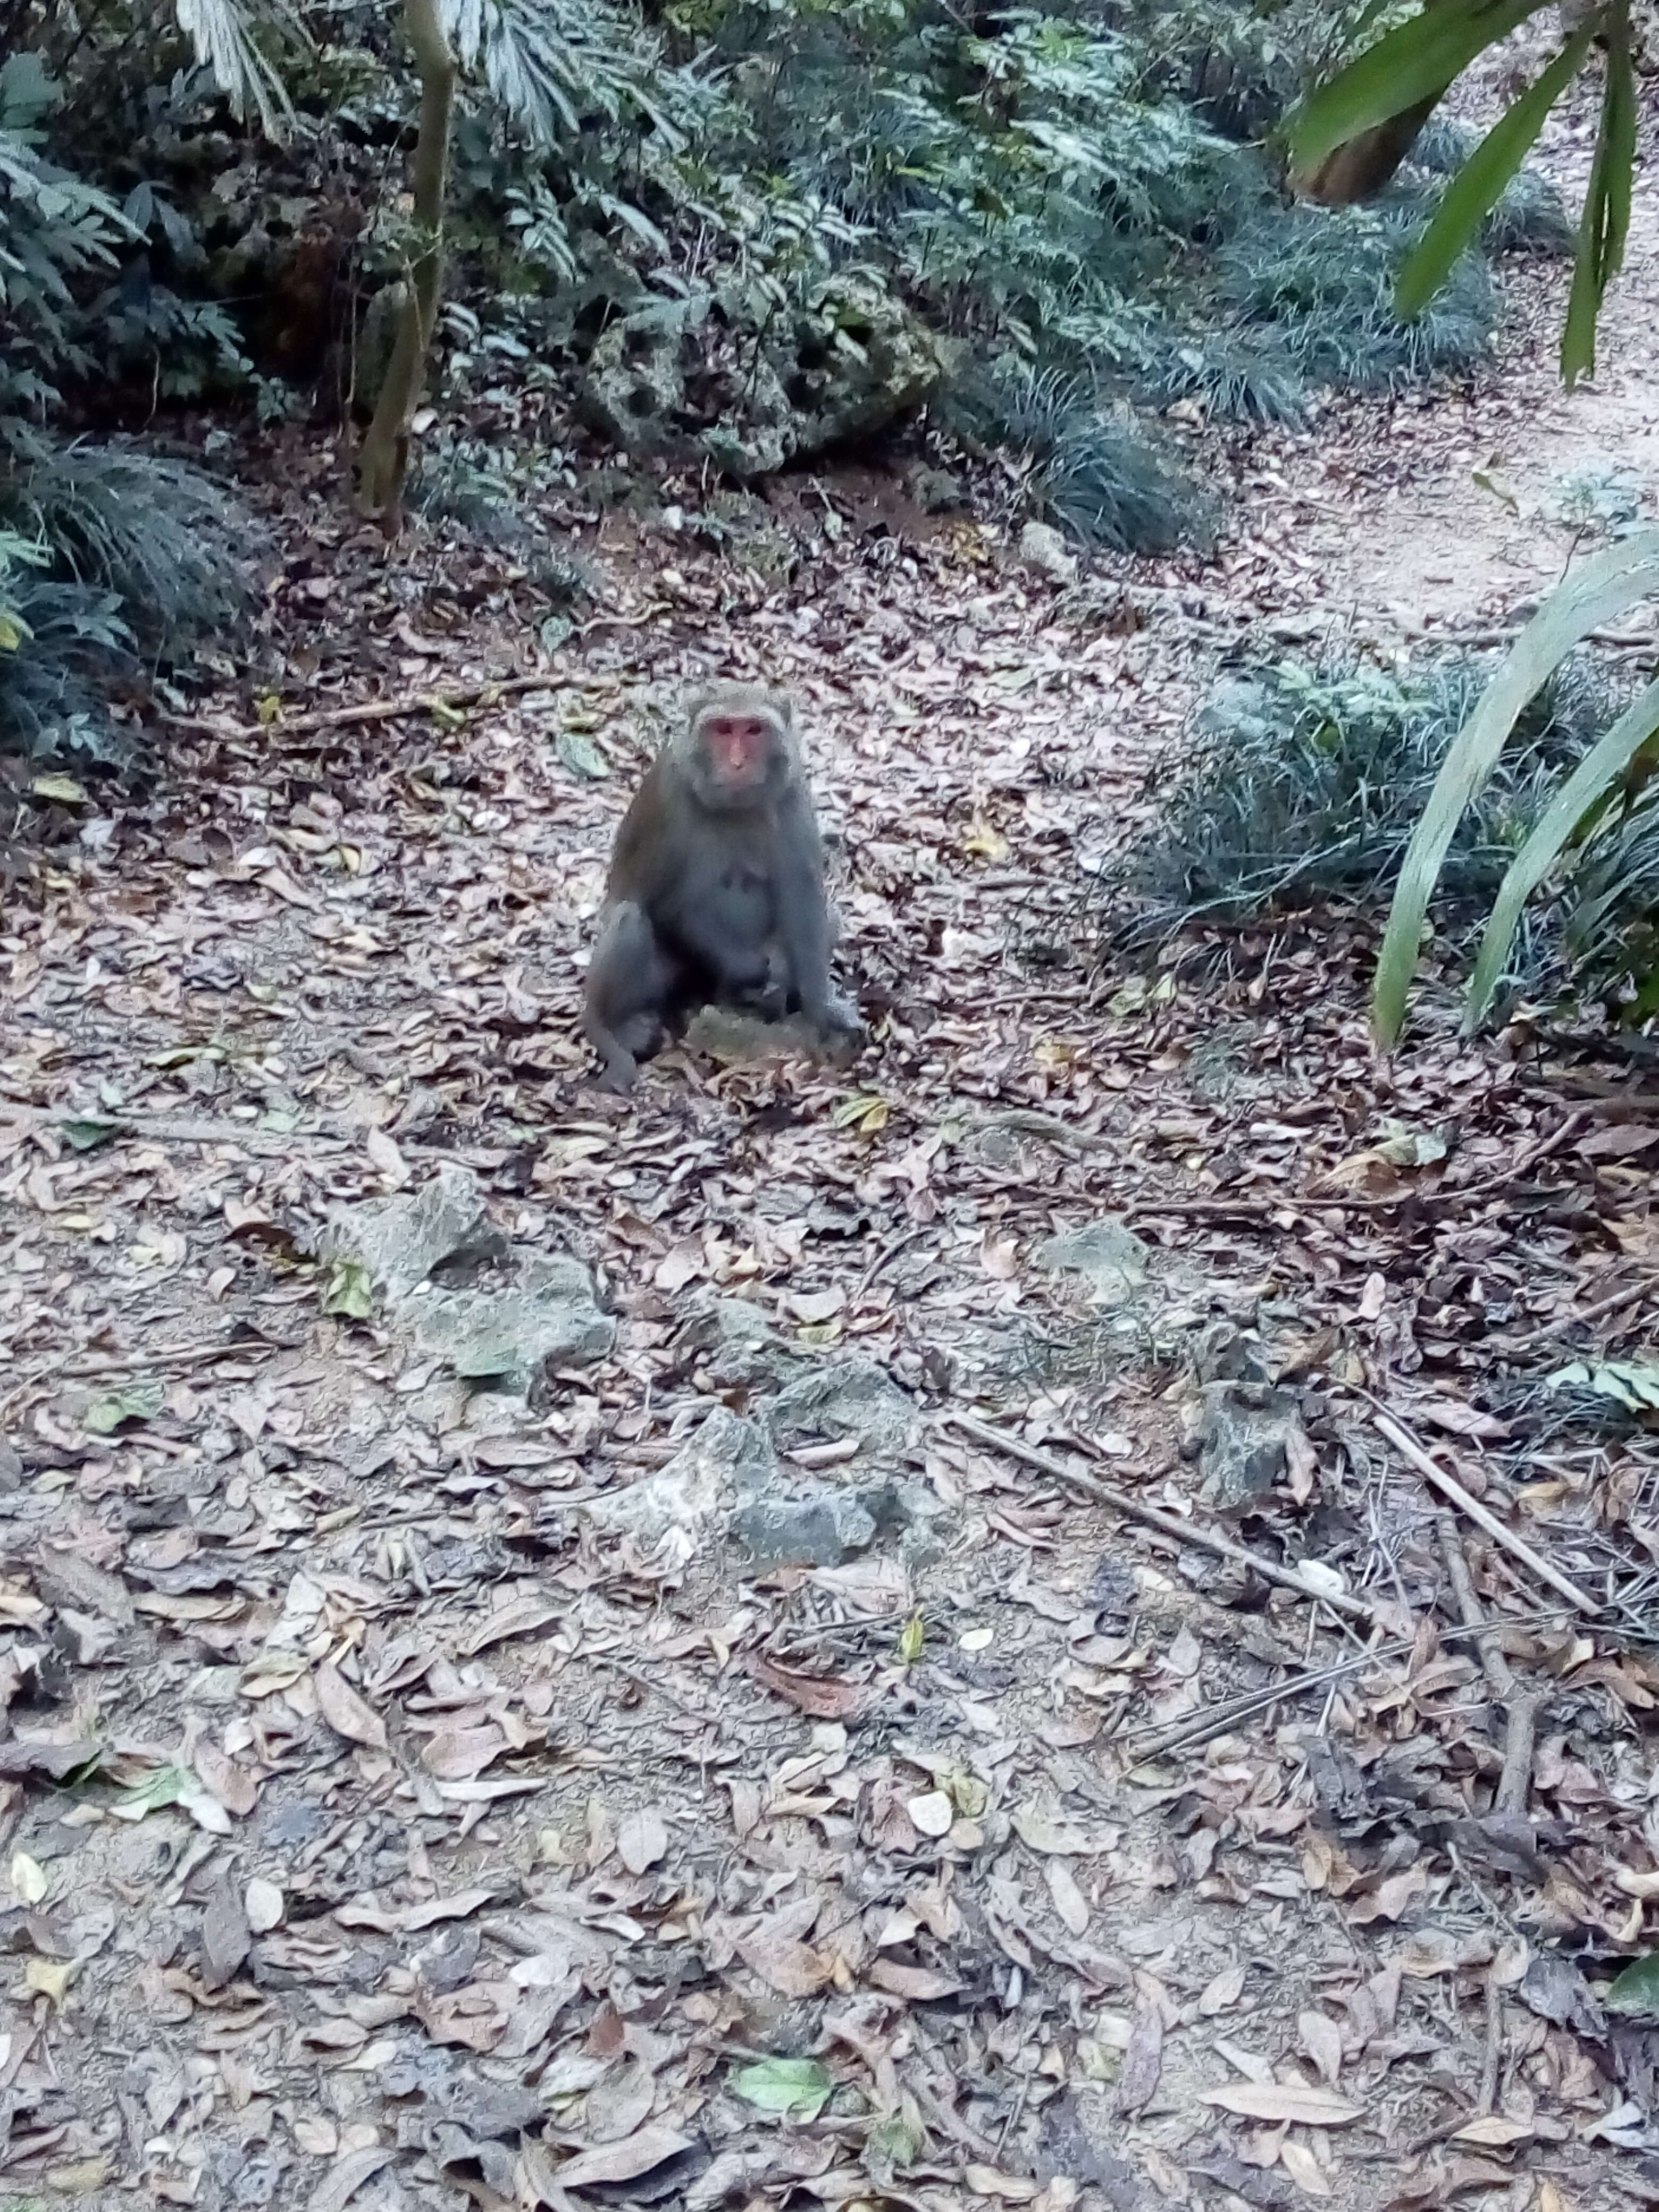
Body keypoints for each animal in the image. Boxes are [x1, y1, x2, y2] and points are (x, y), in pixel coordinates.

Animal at [584, 672, 862, 1088]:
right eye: (723, 730)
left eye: (753, 731)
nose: (736, 762)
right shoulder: (668, 796)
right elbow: (665, 903)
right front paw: (750, 970)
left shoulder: (791, 789)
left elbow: (803, 900)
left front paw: (823, 1008)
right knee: (629, 920)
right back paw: (616, 1027)